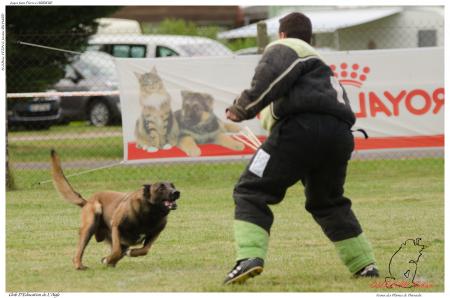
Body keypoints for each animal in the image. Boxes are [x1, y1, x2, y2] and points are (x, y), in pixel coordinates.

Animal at [50, 150, 180, 268]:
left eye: (172, 186)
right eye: (161, 188)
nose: (177, 192)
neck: (150, 214)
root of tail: (87, 201)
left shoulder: (154, 234)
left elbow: (145, 250)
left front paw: (124, 255)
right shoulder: (117, 227)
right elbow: (117, 250)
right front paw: (107, 259)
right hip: (92, 221)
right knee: (80, 251)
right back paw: (80, 265)